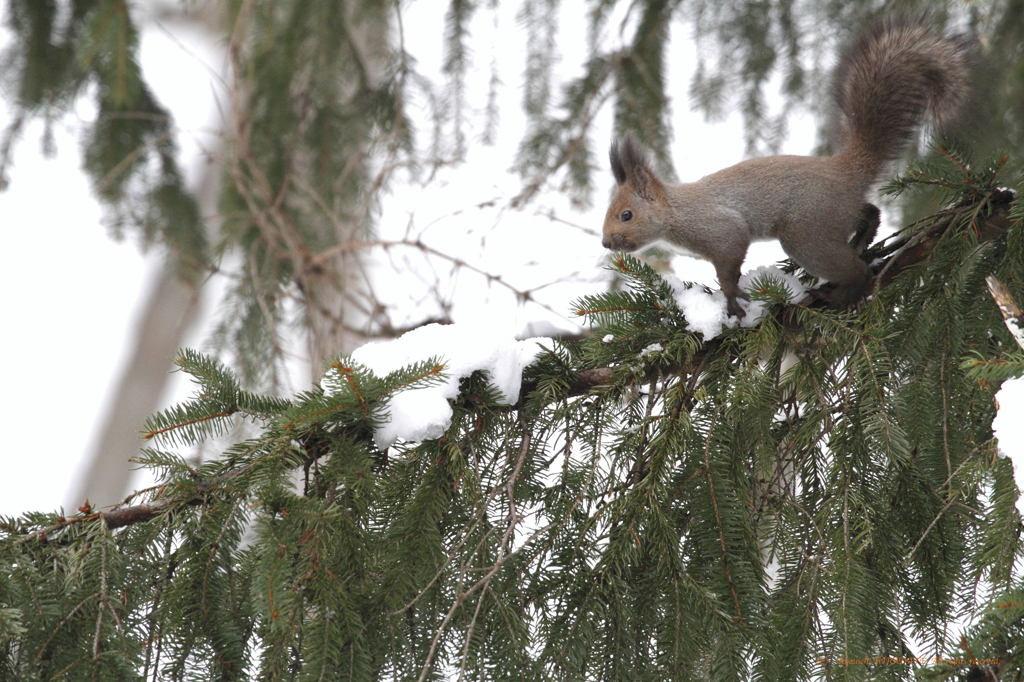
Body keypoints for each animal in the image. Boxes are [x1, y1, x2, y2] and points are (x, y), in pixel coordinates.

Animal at [602, 15, 970, 319]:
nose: (606, 244)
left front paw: (732, 296)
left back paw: (843, 293)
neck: (674, 212)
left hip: (808, 230)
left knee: (854, 268)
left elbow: (729, 259)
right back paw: (863, 238)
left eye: (626, 215)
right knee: (870, 211)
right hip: (835, 214)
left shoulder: (718, 228)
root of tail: (846, 170)